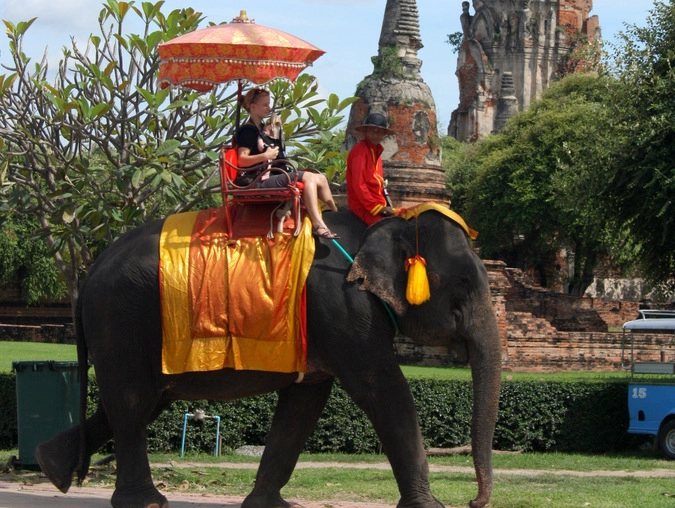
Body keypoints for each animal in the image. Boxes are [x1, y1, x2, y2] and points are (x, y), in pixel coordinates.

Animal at [35, 207, 502, 508]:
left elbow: (304, 405)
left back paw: (51, 466)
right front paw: (430, 506)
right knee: (132, 403)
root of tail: (90, 272)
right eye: (463, 286)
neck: (384, 225)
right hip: (122, 319)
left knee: (139, 401)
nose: (474, 502)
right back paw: (145, 502)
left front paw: (269, 505)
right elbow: (383, 389)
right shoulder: (344, 310)